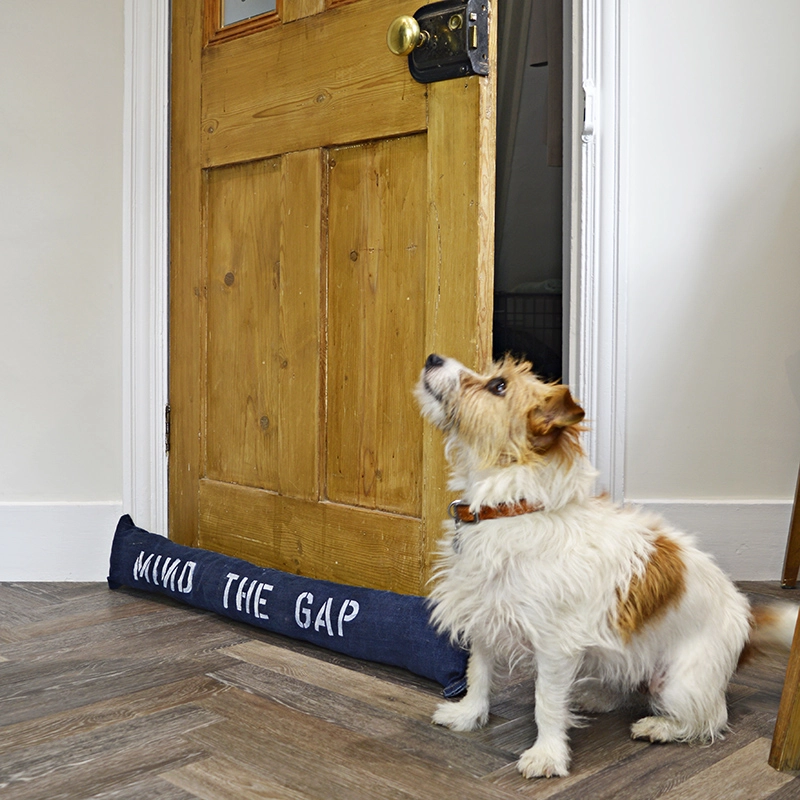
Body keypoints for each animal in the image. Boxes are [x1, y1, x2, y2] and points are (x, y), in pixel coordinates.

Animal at [416, 354, 796, 780]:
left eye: (498, 386)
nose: (433, 357)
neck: (511, 508)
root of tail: (746, 618)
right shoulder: (484, 613)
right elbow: (478, 673)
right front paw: (469, 715)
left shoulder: (554, 644)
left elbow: (546, 701)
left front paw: (547, 754)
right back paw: (593, 696)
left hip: (681, 683)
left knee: (709, 720)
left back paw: (660, 727)